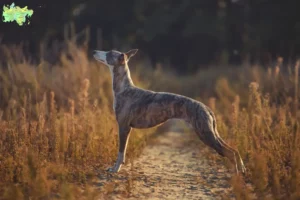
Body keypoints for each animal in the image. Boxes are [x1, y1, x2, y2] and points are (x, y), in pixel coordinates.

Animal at [94, 49, 246, 174]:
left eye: (108, 52)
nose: (94, 51)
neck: (124, 88)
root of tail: (206, 108)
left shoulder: (123, 127)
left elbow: (120, 152)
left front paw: (115, 169)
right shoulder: (127, 128)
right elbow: (123, 152)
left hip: (206, 134)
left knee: (230, 153)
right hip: (212, 133)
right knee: (234, 150)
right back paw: (242, 169)